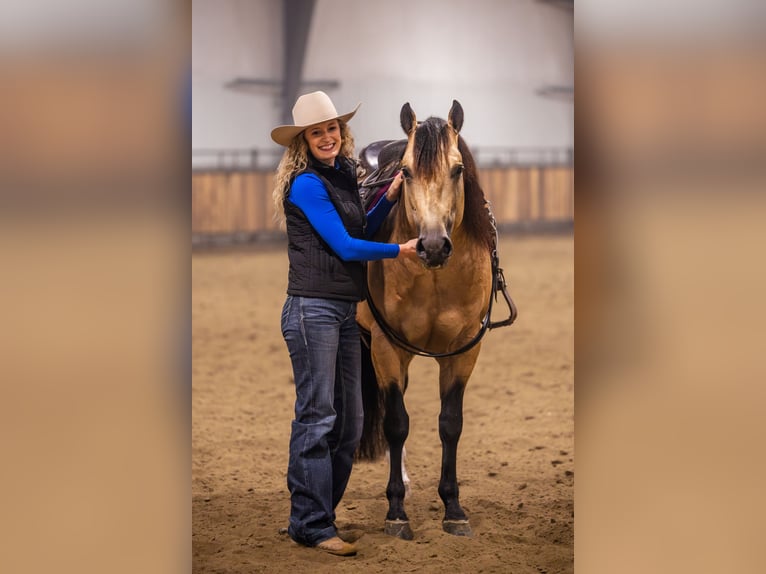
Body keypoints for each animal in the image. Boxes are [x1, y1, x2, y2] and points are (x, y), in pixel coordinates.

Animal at [356, 100, 507, 540]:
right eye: (405, 172)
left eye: (457, 169)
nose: (434, 246)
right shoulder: (387, 348)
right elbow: (396, 423)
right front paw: (396, 513)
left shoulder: (464, 351)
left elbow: (450, 424)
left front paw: (453, 508)